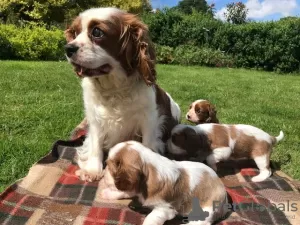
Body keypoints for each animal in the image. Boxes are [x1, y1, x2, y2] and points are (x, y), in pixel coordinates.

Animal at [64, 7, 180, 181]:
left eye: (97, 32)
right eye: (75, 33)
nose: (68, 48)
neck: (113, 88)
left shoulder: (149, 120)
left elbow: (148, 145)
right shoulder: (95, 120)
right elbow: (96, 145)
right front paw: (92, 170)